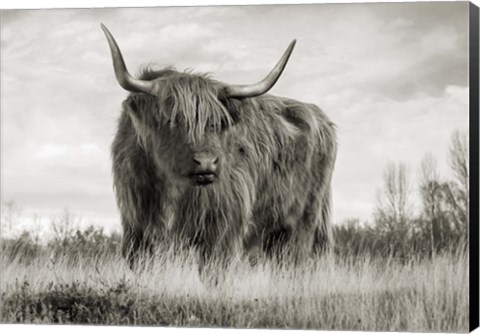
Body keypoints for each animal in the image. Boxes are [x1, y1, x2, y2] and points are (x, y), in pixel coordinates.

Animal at [101, 23, 336, 270]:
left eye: (217, 122)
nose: (206, 162)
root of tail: (320, 117)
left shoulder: (222, 229)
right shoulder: (136, 229)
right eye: (171, 119)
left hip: (303, 223)